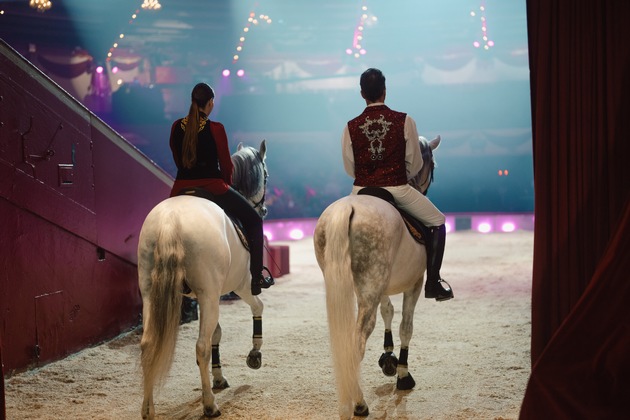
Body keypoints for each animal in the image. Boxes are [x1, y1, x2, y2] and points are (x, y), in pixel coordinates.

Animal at [139, 140, 270, 416]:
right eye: (265, 175)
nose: (263, 209)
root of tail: (170, 220)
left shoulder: (207, 296)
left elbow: (216, 334)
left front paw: (219, 377)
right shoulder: (240, 286)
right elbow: (258, 307)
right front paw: (254, 354)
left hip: (150, 294)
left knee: (148, 345)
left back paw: (148, 410)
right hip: (212, 293)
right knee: (200, 346)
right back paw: (210, 405)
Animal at [314, 136, 442, 418]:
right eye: (433, 165)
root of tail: (347, 209)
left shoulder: (381, 288)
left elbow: (388, 312)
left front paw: (388, 358)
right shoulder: (415, 284)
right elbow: (406, 326)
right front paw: (403, 374)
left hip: (358, 285)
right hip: (371, 288)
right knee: (356, 343)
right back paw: (359, 404)